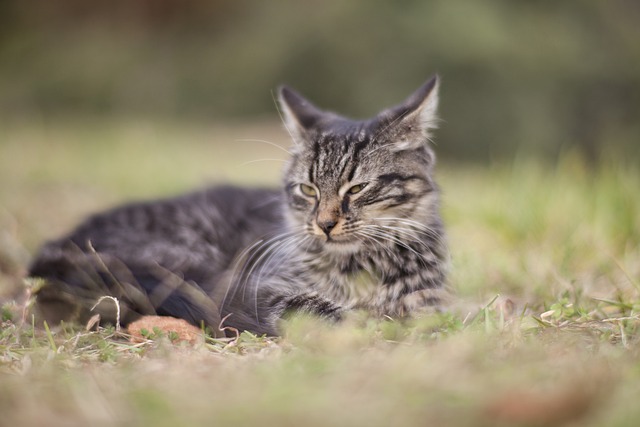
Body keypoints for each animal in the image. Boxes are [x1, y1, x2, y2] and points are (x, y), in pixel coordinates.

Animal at [28, 76, 450, 338]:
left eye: (358, 188)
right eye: (309, 189)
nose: (324, 224)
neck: (358, 267)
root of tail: (60, 245)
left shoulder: (430, 296)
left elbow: (422, 309)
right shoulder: (260, 286)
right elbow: (312, 306)